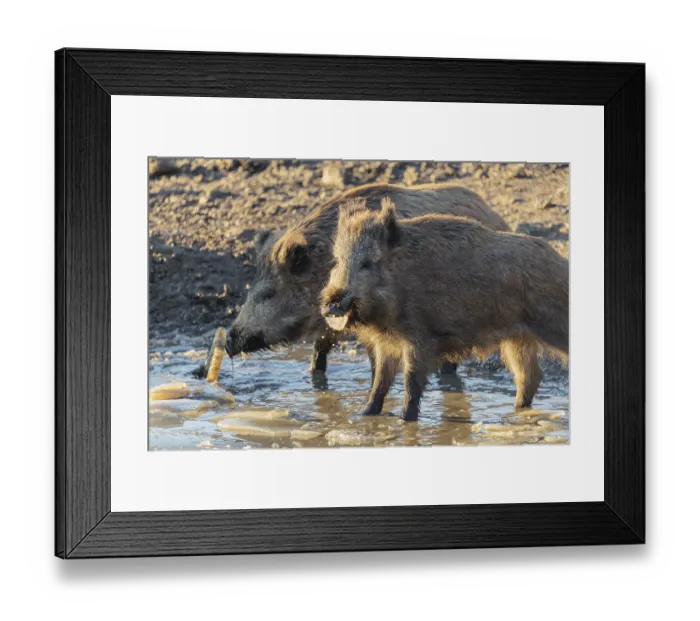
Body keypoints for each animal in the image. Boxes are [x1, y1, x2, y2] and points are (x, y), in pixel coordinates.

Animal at [321, 198, 569, 420]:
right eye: (338, 261)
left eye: (367, 263)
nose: (332, 302)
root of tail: (562, 262)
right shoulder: (386, 344)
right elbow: (380, 383)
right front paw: (365, 415)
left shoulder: (421, 338)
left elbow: (411, 381)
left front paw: (406, 420)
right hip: (517, 339)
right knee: (529, 377)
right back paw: (517, 413)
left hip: (553, 325)